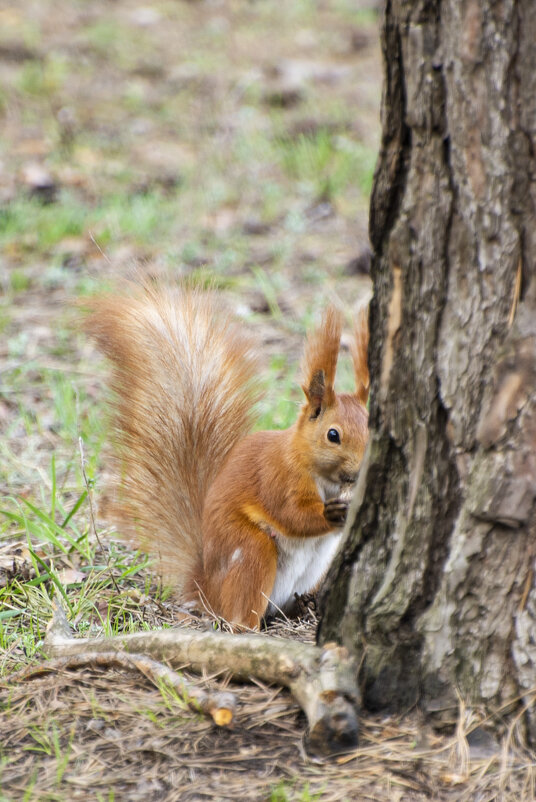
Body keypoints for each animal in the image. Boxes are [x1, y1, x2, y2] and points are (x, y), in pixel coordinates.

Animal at [86, 284, 368, 628]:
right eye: (333, 435)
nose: (360, 471)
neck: (323, 476)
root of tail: (207, 590)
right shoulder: (277, 475)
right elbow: (292, 513)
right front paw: (332, 513)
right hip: (251, 552)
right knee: (240, 612)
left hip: (313, 570)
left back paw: (304, 608)